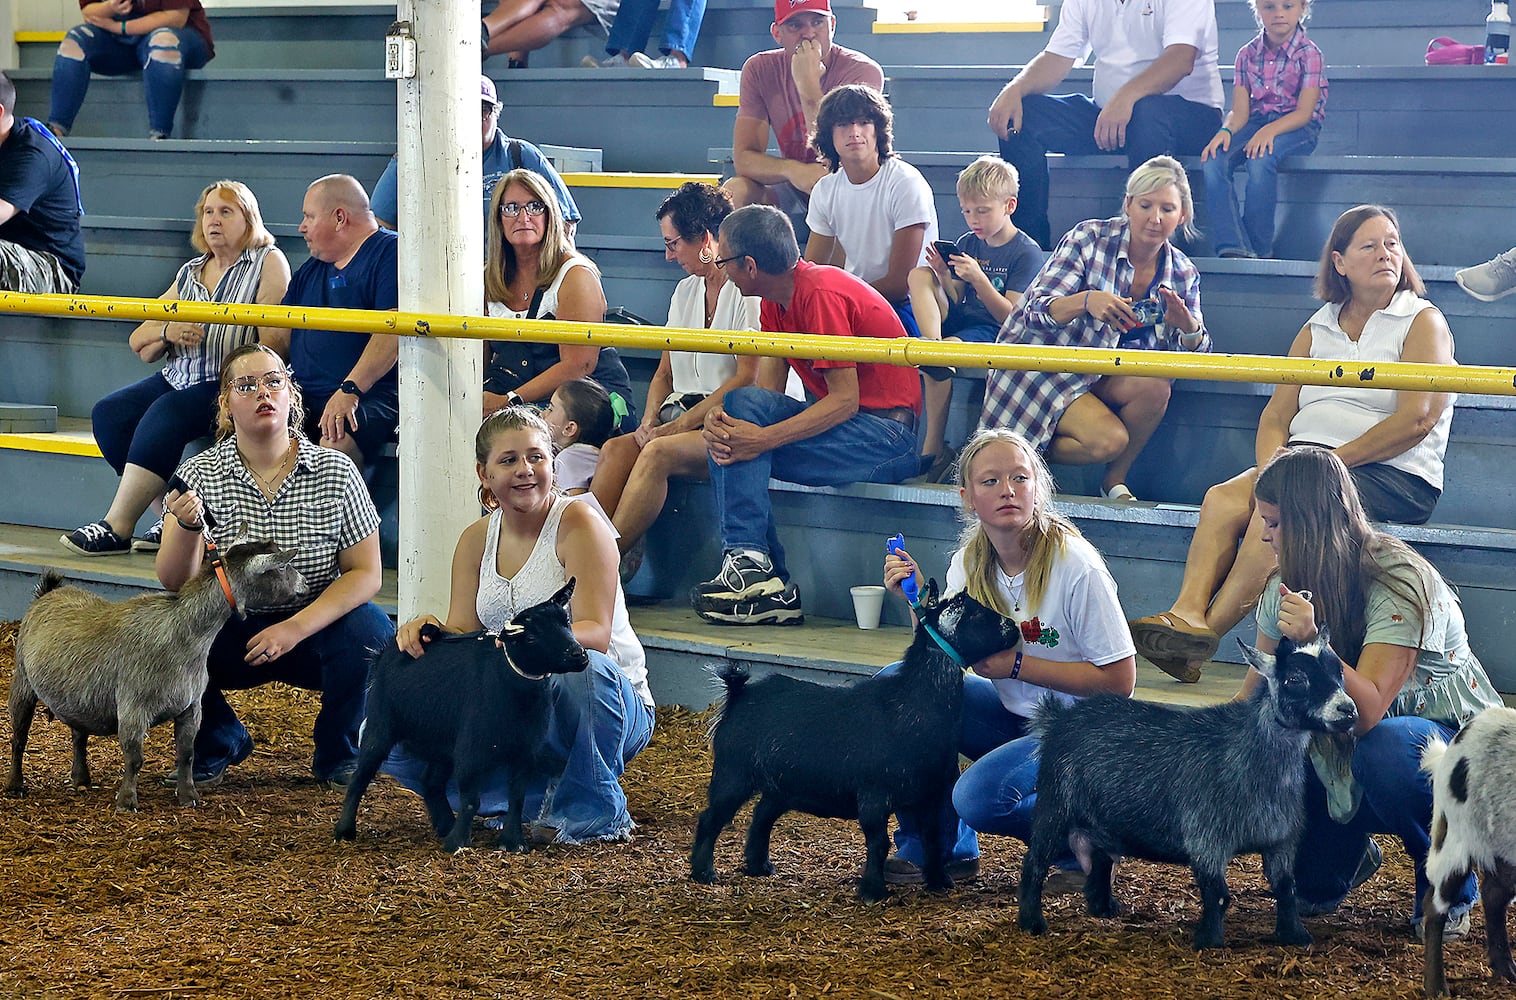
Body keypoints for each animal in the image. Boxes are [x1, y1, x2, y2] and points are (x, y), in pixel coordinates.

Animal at [4, 539, 306, 812]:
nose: (304, 583)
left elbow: (187, 755)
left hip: (76, 697)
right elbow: (134, 758)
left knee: (78, 734)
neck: (184, 633)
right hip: (22, 682)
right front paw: (127, 802)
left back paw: (81, 779)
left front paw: (188, 797)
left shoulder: (191, 707)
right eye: (282, 567)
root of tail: (47, 594)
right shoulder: (133, 707)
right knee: (19, 738)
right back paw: (15, 786)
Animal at [335, 578, 588, 854]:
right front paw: (458, 843)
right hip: (380, 726)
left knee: (431, 781)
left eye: (567, 622)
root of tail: (385, 651)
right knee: (360, 777)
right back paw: (344, 830)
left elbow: (517, 797)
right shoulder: (471, 751)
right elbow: (471, 800)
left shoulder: (525, 751)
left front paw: (513, 842)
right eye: (531, 637)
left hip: (442, 743)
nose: (579, 655)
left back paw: (445, 825)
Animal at [694, 581, 1024, 903]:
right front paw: (873, 891)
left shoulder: (929, 794)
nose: (1013, 627)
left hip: (781, 784)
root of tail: (739, 694)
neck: (912, 703)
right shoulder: (873, 796)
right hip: (734, 772)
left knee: (761, 815)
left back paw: (758, 865)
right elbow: (879, 843)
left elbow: (933, 839)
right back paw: (703, 872)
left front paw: (939, 881)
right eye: (975, 613)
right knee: (711, 818)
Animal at [1018, 630, 1364, 951]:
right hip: (1054, 804)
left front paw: (1295, 936)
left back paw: (1103, 907)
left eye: (1339, 671)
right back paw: (1031, 922)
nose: (1348, 710)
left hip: (1102, 819)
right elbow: (1219, 895)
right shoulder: (1206, 837)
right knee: (1035, 862)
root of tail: (1058, 718)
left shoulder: (1280, 839)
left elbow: (1286, 887)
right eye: (1295, 679)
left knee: (1101, 857)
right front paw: (1209, 942)